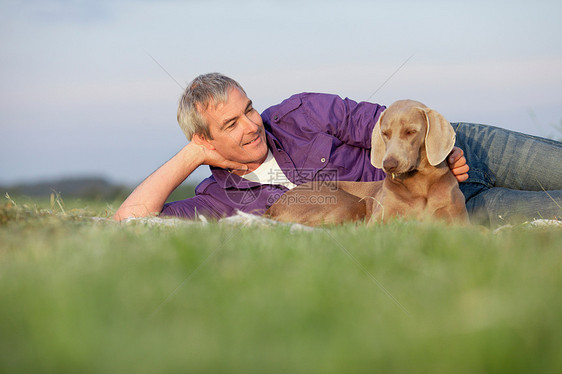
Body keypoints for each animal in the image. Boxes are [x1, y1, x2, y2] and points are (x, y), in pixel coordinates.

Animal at [264, 99, 466, 226]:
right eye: (385, 133)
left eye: (410, 132)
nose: (389, 165)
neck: (420, 184)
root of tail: (272, 207)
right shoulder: (378, 221)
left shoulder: (458, 222)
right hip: (346, 202)